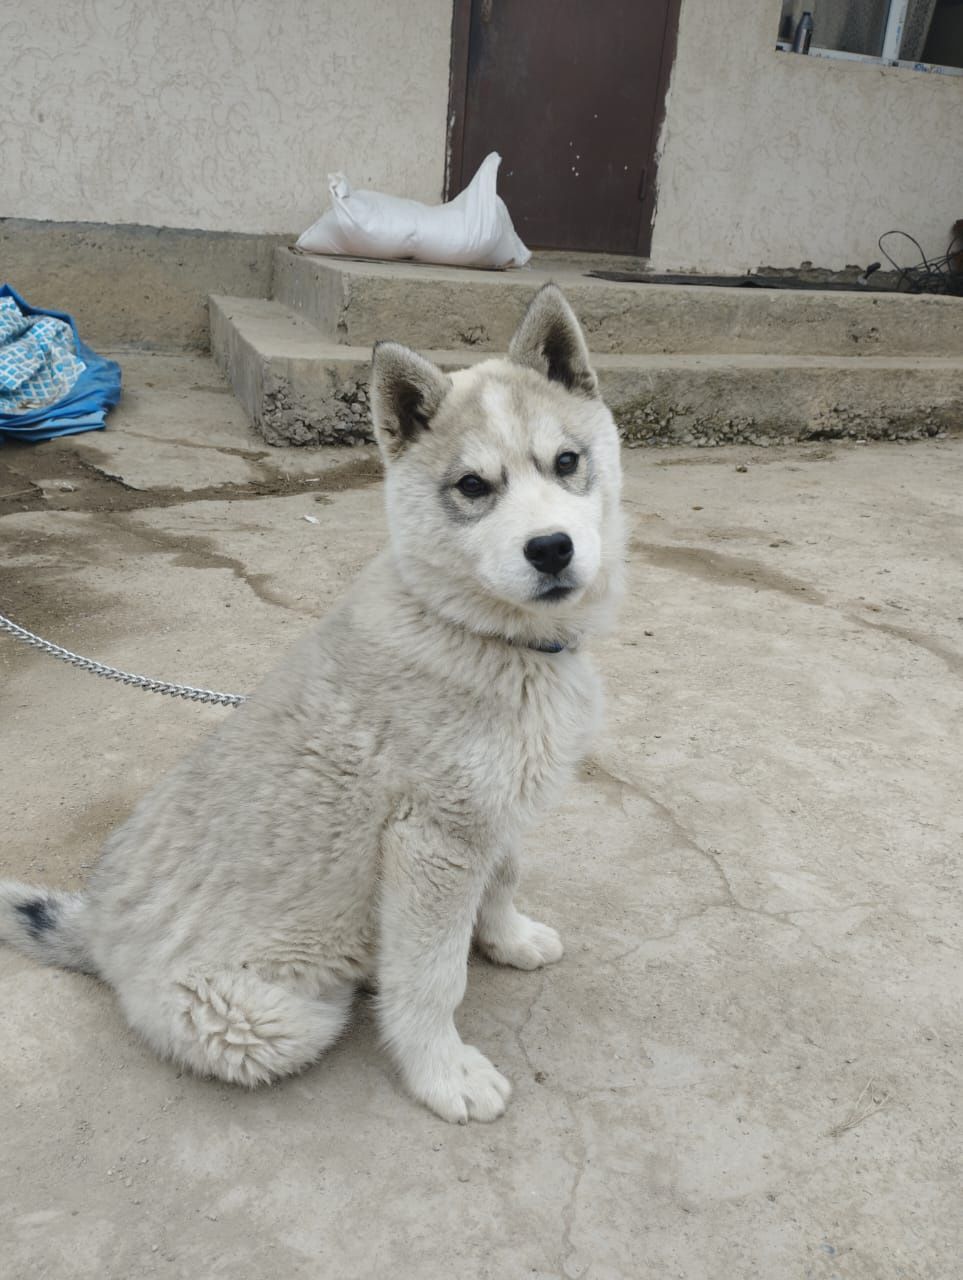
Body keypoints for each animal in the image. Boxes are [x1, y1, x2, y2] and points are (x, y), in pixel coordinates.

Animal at [0, 288, 624, 1121]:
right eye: (472, 487)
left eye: (566, 463)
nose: (551, 549)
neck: (480, 632)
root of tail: (96, 925)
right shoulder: (432, 842)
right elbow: (432, 977)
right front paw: (441, 1071)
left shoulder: (488, 812)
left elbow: (505, 876)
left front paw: (508, 938)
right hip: (266, 1021)